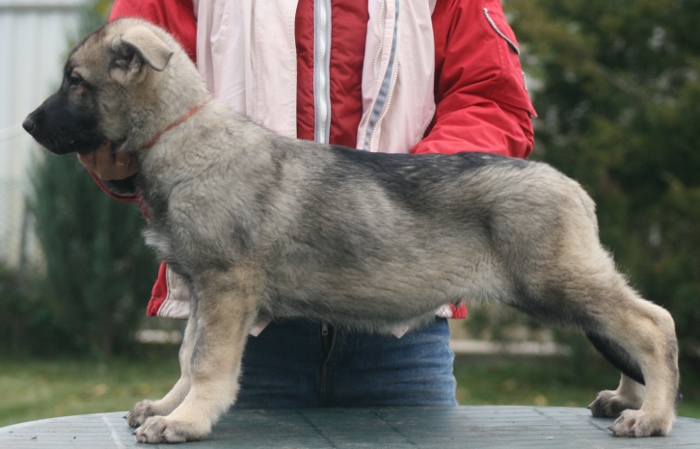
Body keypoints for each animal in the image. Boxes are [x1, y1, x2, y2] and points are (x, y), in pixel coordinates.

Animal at [24, 18, 680, 444]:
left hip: (555, 281)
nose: (28, 123)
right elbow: (188, 355)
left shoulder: (226, 286)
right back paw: (628, 399)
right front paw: (168, 405)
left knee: (651, 324)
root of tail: (573, 188)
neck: (180, 132)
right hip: (564, 287)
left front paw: (186, 420)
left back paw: (653, 414)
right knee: (625, 327)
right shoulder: (203, 290)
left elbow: (207, 361)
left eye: (76, 81)